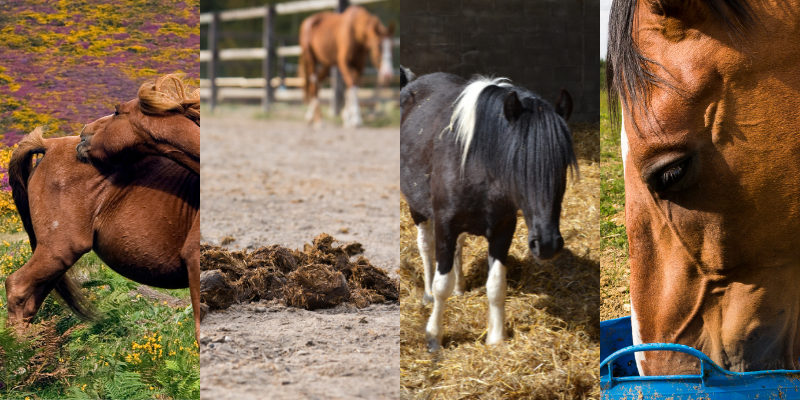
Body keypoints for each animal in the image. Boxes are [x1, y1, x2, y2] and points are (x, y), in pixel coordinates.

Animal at [7, 127, 200, 338]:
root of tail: (50, 145)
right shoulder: (194, 259)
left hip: (57, 260)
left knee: (30, 302)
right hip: (58, 251)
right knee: (16, 287)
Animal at [398, 70, 576, 352]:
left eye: (562, 164)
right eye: (517, 164)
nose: (547, 245)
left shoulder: (503, 229)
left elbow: (496, 285)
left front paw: (496, 337)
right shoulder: (445, 224)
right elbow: (441, 282)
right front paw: (434, 336)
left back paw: (460, 287)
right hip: (418, 209)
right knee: (425, 247)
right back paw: (427, 293)